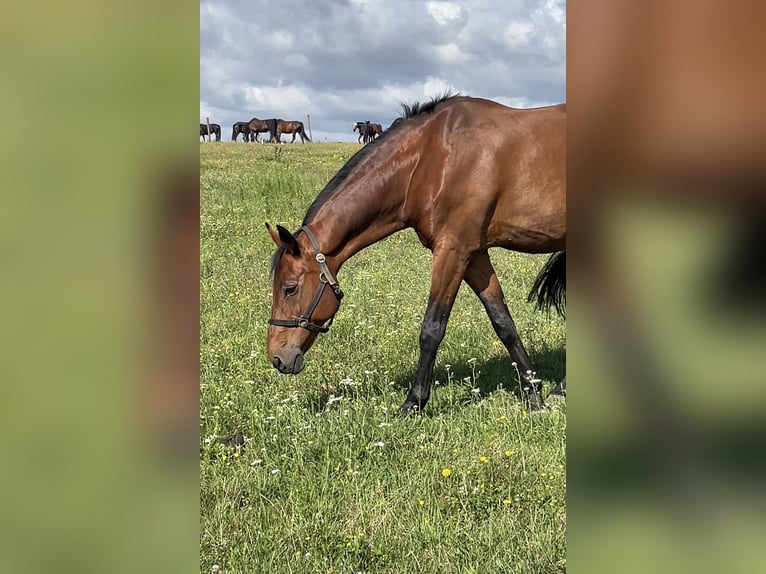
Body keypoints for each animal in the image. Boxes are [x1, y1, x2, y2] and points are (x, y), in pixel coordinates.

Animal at [268, 94, 568, 414]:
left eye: (289, 288)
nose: (277, 357)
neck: (431, 158)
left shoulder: (452, 251)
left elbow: (432, 329)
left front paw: (413, 402)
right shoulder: (474, 255)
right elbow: (503, 323)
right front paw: (533, 393)